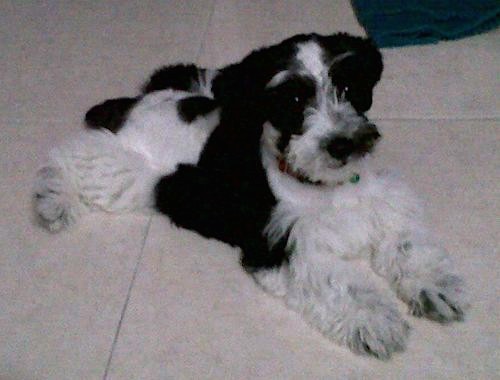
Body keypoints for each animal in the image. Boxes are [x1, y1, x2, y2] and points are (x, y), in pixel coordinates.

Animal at [34, 32, 468, 360]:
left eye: (348, 87)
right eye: (294, 100)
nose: (341, 144)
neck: (321, 186)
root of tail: (135, 104)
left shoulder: (384, 204)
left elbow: (408, 244)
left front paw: (435, 286)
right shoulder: (284, 244)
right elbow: (338, 283)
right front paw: (375, 320)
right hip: (130, 174)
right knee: (70, 156)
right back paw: (52, 202)